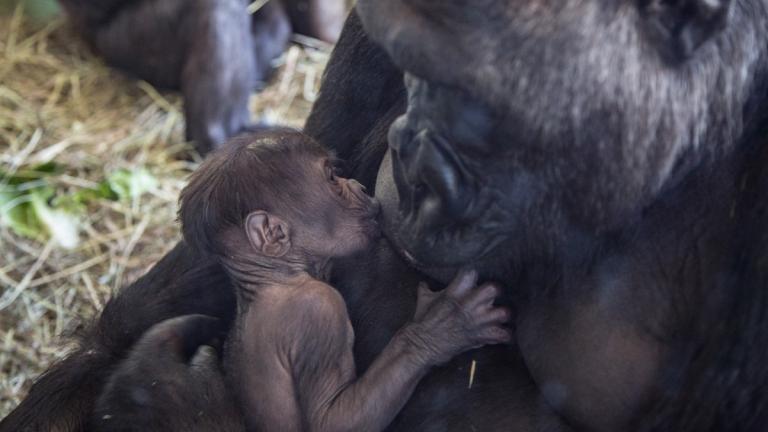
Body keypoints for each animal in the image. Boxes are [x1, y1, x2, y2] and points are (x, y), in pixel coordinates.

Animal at [178, 132, 510, 432]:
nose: (359, 187)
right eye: (331, 178)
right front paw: (441, 327)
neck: (272, 278)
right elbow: (331, 421)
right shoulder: (317, 311)